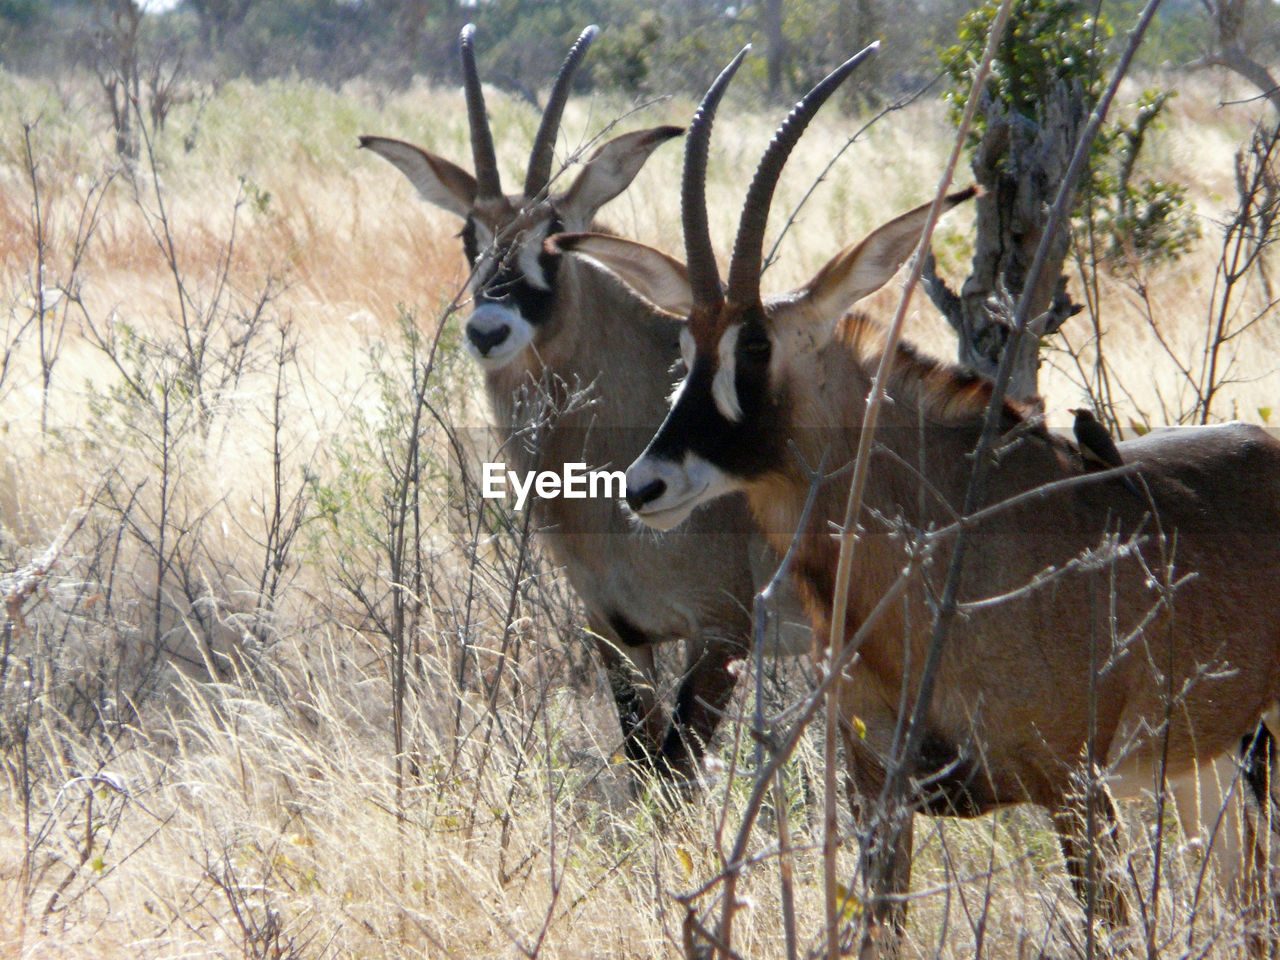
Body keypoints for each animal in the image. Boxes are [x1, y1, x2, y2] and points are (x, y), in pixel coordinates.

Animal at [360, 24, 798, 783]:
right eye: (469, 237)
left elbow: (673, 775)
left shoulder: (721, 633)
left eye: (555, 238)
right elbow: (642, 762)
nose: (488, 330)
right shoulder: (615, 629)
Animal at [555, 50, 1280, 947]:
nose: (644, 485)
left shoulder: (1075, 790)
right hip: (1203, 765)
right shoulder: (879, 795)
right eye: (687, 345)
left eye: (756, 346)